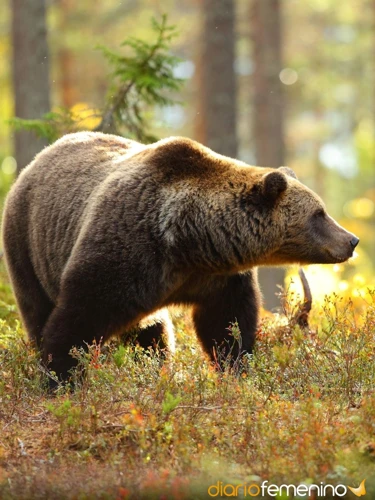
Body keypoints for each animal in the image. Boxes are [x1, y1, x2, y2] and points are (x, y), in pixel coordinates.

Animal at [3, 131, 362, 380]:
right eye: (319, 213)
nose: (352, 240)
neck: (189, 241)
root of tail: (34, 162)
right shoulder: (126, 248)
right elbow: (79, 314)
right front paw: (60, 375)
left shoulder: (216, 277)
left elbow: (226, 324)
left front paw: (236, 367)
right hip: (27, 245)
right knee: (37, 308)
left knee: (152, 334)